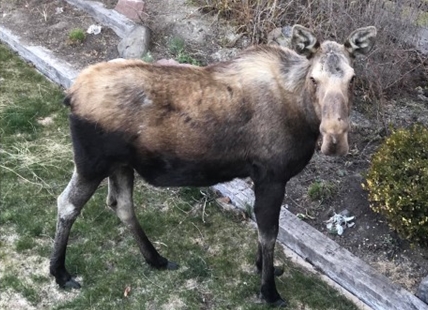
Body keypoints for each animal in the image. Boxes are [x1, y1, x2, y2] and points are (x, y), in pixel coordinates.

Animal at [50, 25, 376, 306]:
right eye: (314, 79)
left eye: (352, 78)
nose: (334, 138)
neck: (302, 114)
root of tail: (70, 95)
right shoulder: (271, 175)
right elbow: (269, 233)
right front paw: (269, 290)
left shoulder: (262, 178)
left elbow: (264, 230)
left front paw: (263, 268)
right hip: (91, 162)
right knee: (67, 203)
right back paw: (60, 272)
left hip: (121, 165)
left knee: (121, 205)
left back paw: (156, 259)